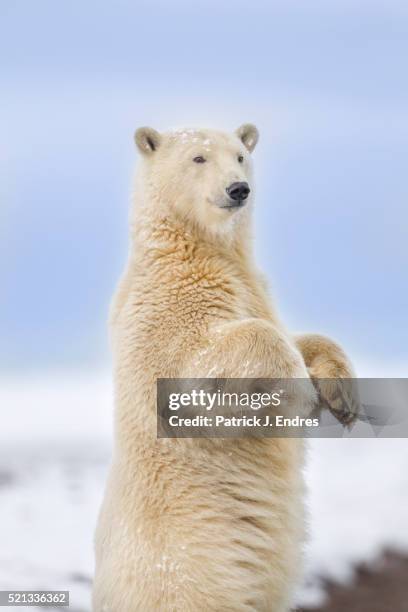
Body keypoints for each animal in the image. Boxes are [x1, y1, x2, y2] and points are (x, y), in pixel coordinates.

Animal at [93, 125, 356, 612]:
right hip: (191, 571)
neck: (196, 247)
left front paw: (342, 395)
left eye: (240, 155)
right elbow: (197, 363)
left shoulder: (250, 286)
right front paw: (301, 390)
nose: (238, 189)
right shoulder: (162, 309)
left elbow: (296, 333)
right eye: (198, 158)